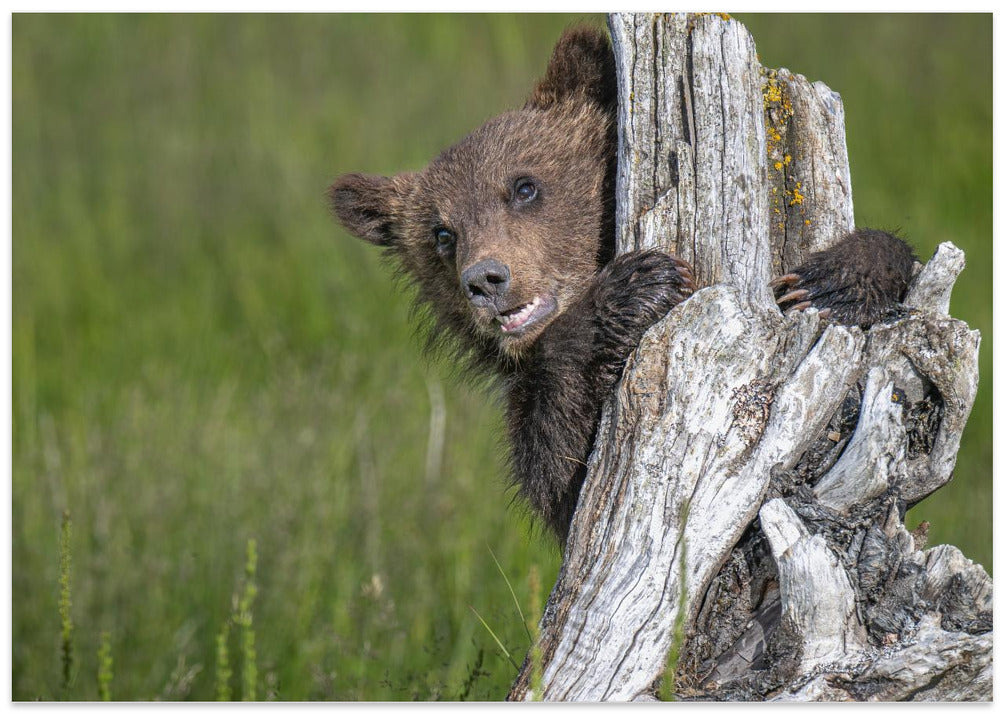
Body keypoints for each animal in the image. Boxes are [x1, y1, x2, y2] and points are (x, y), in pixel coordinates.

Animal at [329, 26, 916, 547]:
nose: (486, 279)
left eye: (524, 187)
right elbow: (562, 474)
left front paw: (832, 281)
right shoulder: (543, 431)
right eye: (442, 233)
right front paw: (635, 289)